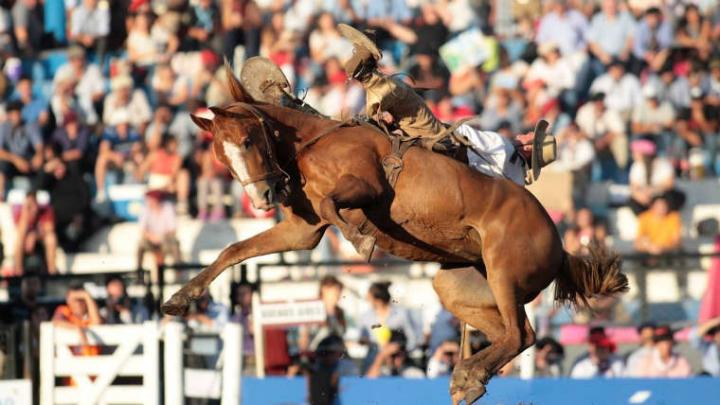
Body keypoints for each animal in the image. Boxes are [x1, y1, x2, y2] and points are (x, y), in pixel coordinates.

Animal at [162, 67, 628, 404]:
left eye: (246, 139)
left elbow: (335, 206)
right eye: (220, 154)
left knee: (520, 335)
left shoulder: (365, 186)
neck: (313, 143)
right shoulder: (301, 231)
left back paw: (466, 375)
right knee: (511, 336)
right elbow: (235, 249)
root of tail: (560, 245)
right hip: (459, 285)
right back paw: (469, 377)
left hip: (503, 271)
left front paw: (360, 240)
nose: (260, 197)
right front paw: (179, 299)